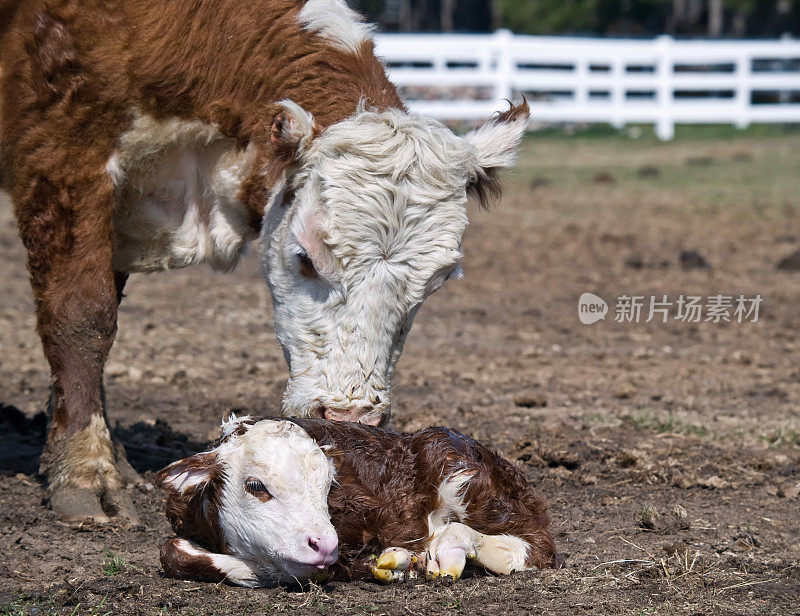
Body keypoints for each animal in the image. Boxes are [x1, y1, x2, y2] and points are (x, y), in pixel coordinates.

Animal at [0, 0, 532, 524]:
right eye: (305, 258)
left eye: (435, 283)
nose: (349, 418)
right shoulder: (65, 158)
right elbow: (83, 317)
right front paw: (86, 470)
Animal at [155, 416, 556, 584]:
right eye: (255, 486)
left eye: (327, 487)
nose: (323, 543)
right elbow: (171, 551)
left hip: (454, 462)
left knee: (535, 547)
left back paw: (449, 548)